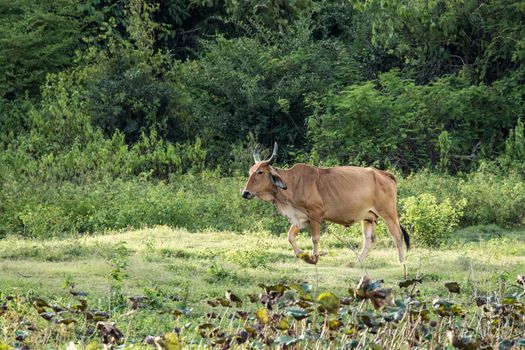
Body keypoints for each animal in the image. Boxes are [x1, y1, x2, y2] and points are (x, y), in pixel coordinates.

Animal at [242, 142, 410, 266]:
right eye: (250, 171)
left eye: (260, 172)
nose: (245, 193)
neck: (293, 183)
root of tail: (383, 174)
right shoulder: (301, 219)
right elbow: (290, 236)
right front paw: (301, 255)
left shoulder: (316, 215)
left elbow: (315, 238)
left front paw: (315, 258)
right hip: (368, 217)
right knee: (370, 239)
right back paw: (358, 261)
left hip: (388, 214)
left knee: (397, 235)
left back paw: (402, 262)